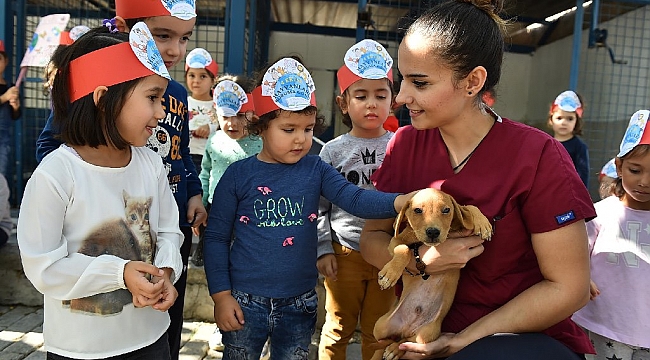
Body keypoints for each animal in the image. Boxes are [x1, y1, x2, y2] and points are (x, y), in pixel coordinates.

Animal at [368, 188, 488, 360]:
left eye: (446, 210)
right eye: (417, 210)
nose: (432, 232)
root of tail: (406, 328)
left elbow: (468, 207)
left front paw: (483, 223)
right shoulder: (395, 242)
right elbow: (404, 249)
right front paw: (389, 275)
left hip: (427, 334)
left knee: (404, 342)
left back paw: (395, 349)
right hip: (380, 325)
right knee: (383, 342)